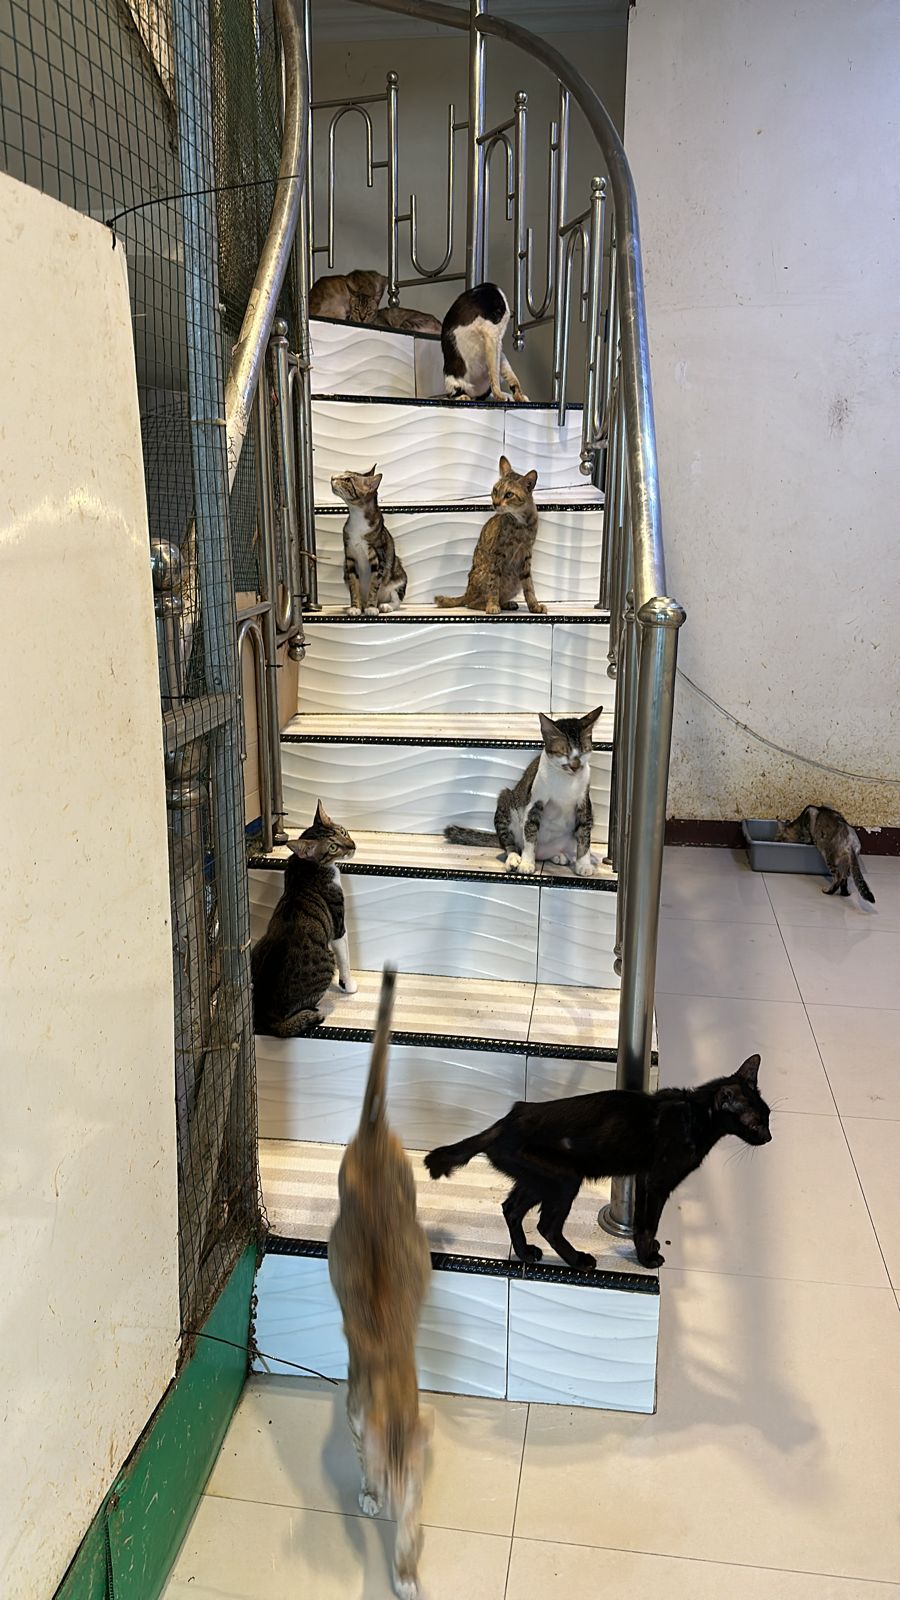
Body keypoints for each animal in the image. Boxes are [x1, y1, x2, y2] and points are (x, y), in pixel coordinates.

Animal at [251, 801, 357, 1036]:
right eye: (333, 847)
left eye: (344, 832)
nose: (353, 846)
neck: (305, 865)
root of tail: (267, 1016)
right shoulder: (338, 926)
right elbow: (345, 957)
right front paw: (349, 985)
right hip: (327, 960)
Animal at [331, 466, 408, 614]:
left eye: (347, 480)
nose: (332, 477)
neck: (357, 518)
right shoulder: (349, 557)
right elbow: (353, 585)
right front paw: (355, 607)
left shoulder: (378, 557)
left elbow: (374, 585)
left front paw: (371, 608)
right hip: (344, 571)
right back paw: (361, 605)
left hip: (398, 575)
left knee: (396, 599)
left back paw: (385, 606)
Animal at [425, 1055, 771, 1271]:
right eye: (755, 1123)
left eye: (768, 1115)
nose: (769, 1138)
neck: (693, 1115)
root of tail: (507, 1120)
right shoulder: (657, 1182)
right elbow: (648, 1223)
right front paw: (647, 1258)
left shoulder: (643, 1177)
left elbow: (644, 1221)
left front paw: (649, 1249)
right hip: (565, 1179)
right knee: (546, 1225)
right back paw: (578, 1260)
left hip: (536, 1179)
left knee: (511, 1209)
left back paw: (525, 1253)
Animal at [434, 455, 543, 614]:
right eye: (495, 490)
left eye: (509, 494)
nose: (495, 503)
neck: (520, 523)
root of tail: (466, 593)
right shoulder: (496, 555)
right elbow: (493, 584)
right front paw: (492, 605)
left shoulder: (526, 556)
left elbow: (529, 586)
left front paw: (534, 605)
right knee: (470, 602)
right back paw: (490, 604)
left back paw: (506, 603)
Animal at [443, 705, 604, 877]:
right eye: (564, 753)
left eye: (584, 751)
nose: (575, 766)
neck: (566, 780)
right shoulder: (535, 800)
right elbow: (531, 830)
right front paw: (527, 863)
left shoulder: (584, 803)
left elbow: (584, 833)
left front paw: (584, 864)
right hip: (506, 801)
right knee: (509, 843)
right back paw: (514, 858)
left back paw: (560, 856)